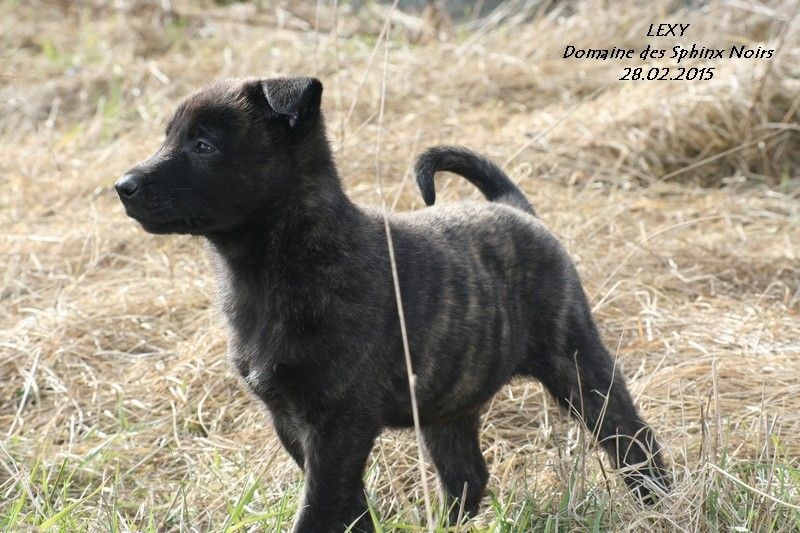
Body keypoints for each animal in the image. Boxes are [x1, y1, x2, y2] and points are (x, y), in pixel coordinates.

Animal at [116, 76, 669, 532]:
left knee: (632, 439)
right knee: (467, 475)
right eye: (168, 138)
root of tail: (514, 208)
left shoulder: (337, 425)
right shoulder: (294, 423)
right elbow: (348, 507)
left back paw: (662, 504)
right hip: (448, 403)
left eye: (203, 145)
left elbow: (319, 509)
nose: (123, 186)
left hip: (577, 361)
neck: (272, 265)